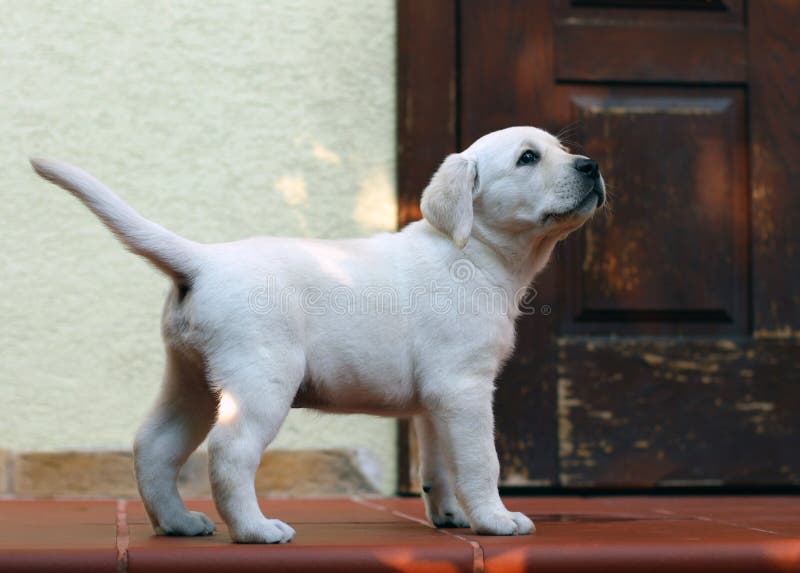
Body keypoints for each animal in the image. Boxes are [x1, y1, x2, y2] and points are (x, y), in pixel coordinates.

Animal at [32, 125, 608, 540]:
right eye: (528, 158)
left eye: (562, 149)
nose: (592, 165)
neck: (471, 251)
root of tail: (205, 259)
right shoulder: (465, 388)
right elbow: (481, 461)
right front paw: (497, 519)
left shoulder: (436, 401)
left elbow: (438, 464)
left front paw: (450, 516)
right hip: (263, 378)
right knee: (230, 450)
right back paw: (255, 529)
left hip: (190, 379)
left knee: (154, 446)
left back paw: (178, 524)